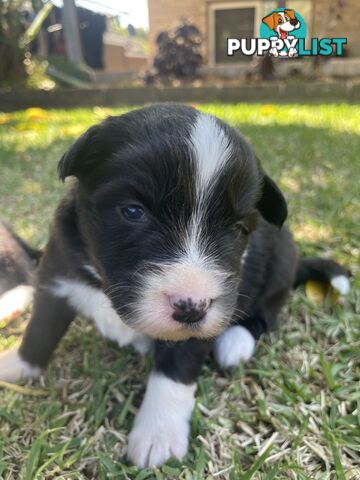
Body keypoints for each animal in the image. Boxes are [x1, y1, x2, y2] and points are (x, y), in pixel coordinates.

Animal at [0, 103, 348, 466]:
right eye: (133, 211)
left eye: (238, 229)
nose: (192, 308)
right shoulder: (57, 271)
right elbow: (41, 330)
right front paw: (17, 366)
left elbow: (176, 370)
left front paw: (159, 433)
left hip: (280, 261)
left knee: (266, 313)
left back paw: (235, 341)